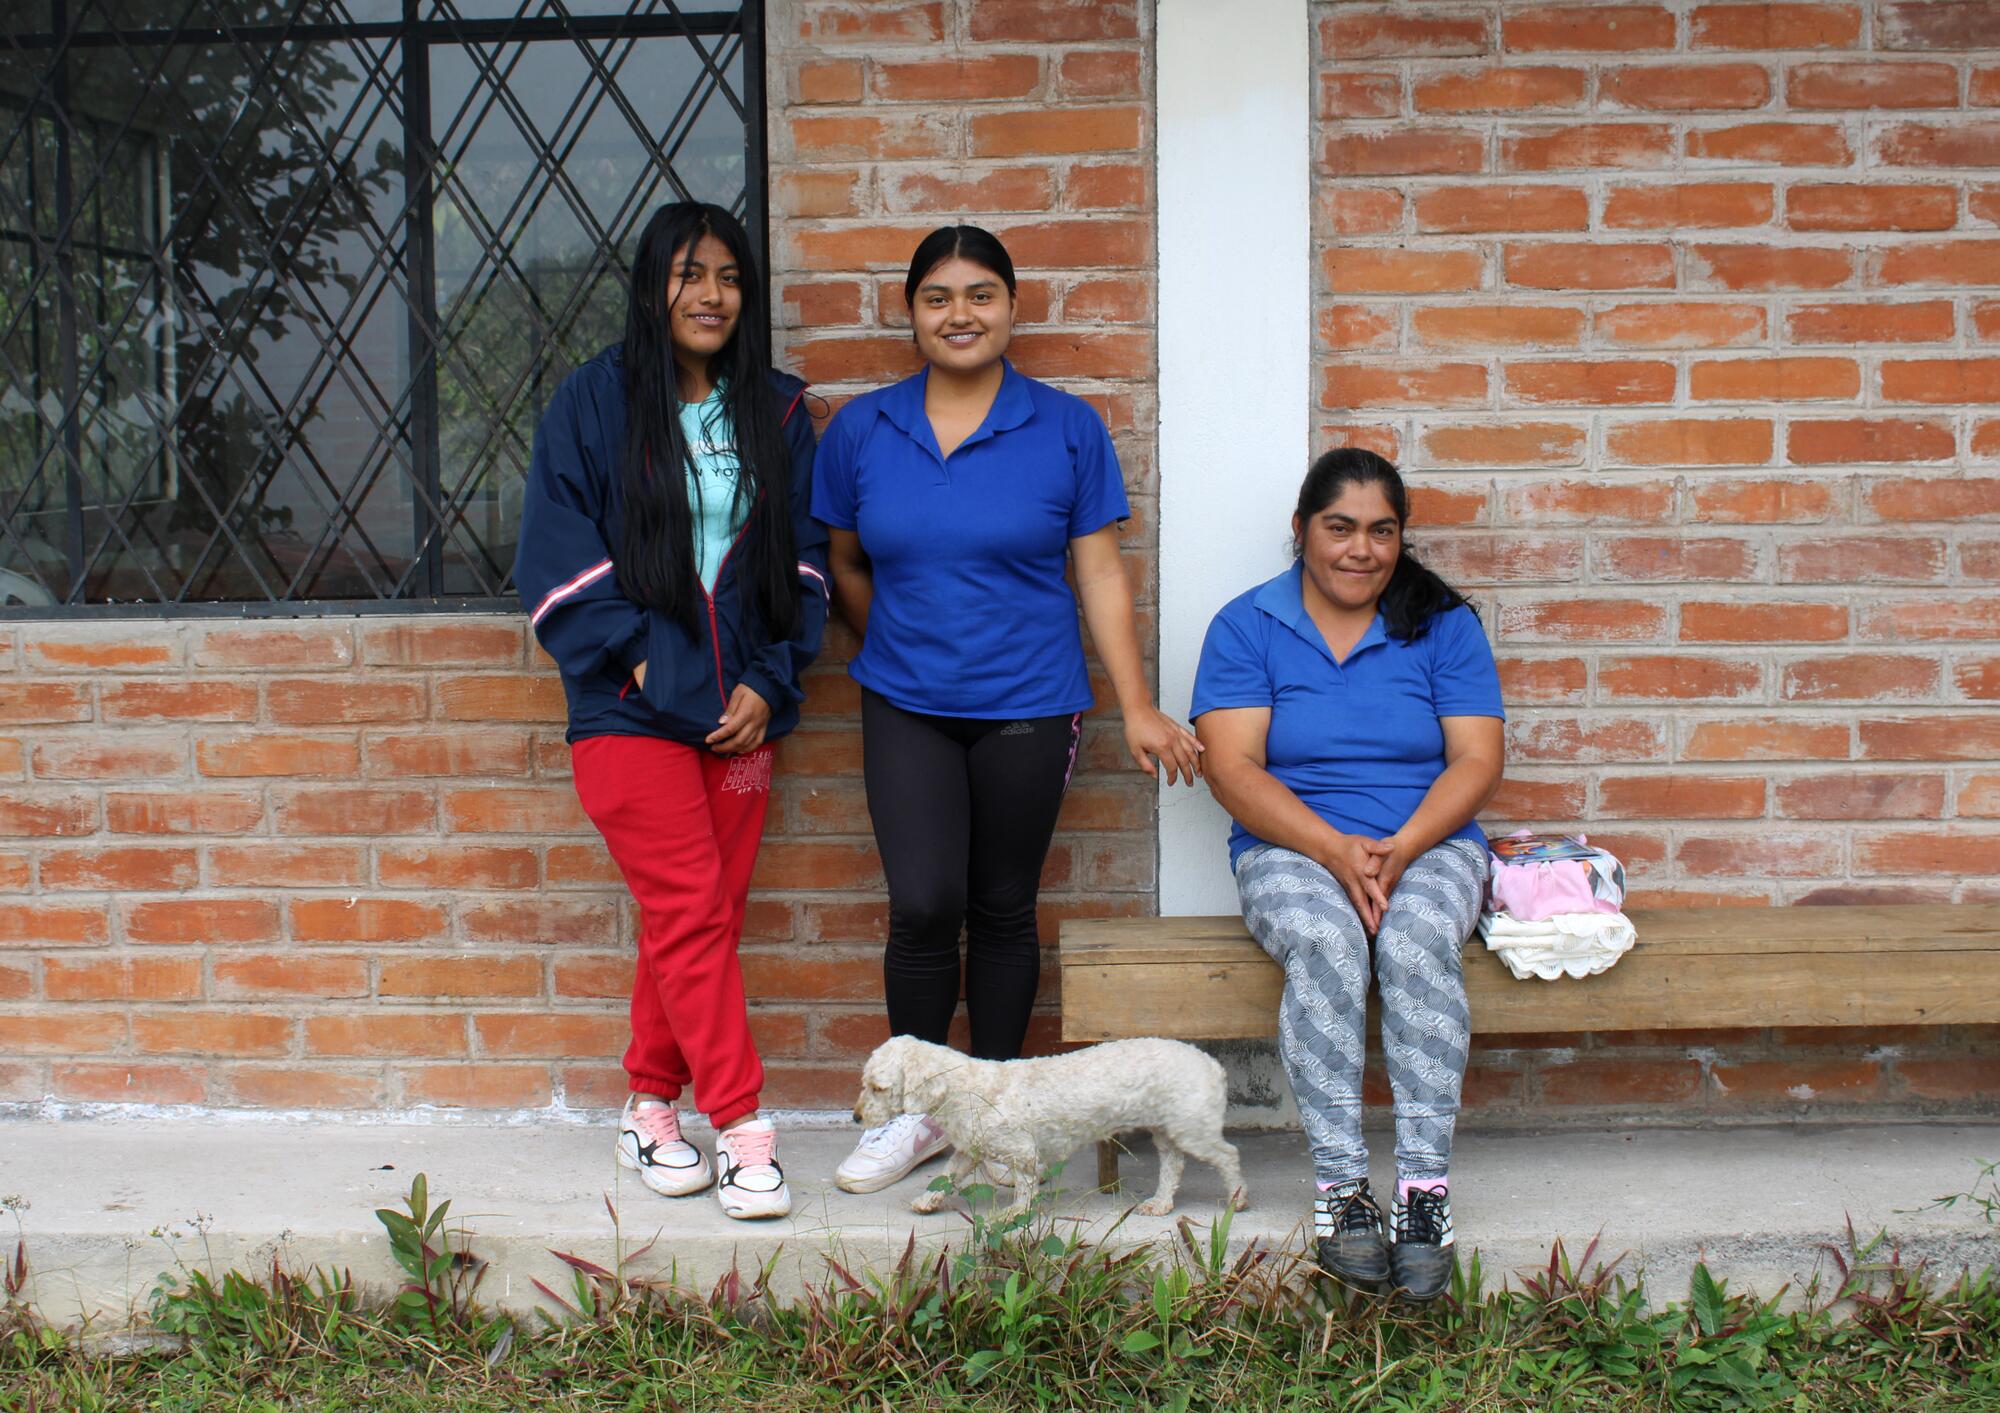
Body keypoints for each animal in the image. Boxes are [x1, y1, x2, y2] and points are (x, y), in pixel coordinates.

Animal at [848, 1032, 1248, 1216]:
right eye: (864, 1082)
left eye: (878, 1087)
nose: (855, 1117)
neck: (968, 1088)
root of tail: (1213, 1066)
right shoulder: (970, 1148)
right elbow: (947, 1175)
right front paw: (927, 1200)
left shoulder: (1023, 1151)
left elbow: (1025, 1186)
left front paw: (1013, 1214)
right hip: (1167, 1130)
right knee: (1173, 1165)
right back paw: (1161, 1203)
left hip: (1192, 1128)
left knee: (1228, 1155)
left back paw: (1237, 1198)